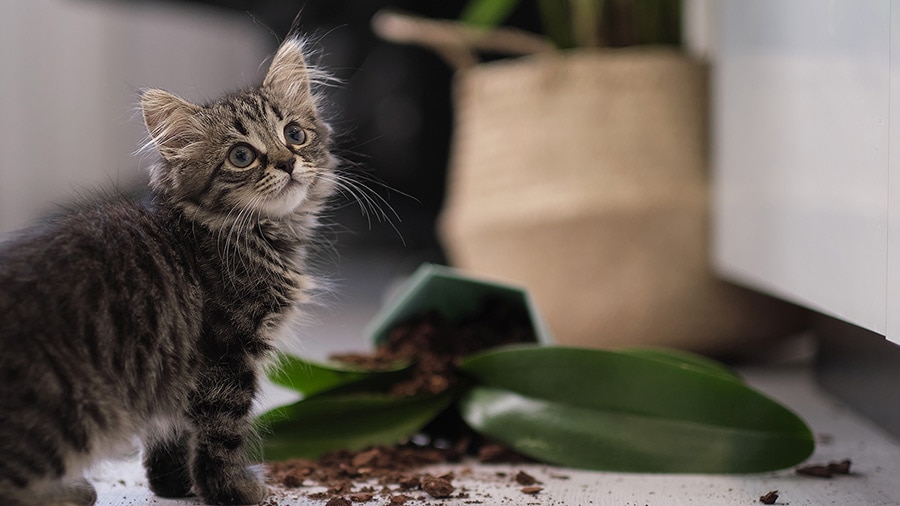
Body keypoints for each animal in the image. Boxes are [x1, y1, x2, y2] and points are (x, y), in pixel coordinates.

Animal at [0, 33, 338, 504]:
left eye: (295, 134)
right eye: (241, 156)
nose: (287, 162)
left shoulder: (171, 368)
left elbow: (171, 434)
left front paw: (175, 484)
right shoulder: (223, 357)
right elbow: (221, 432)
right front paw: (234, 490)